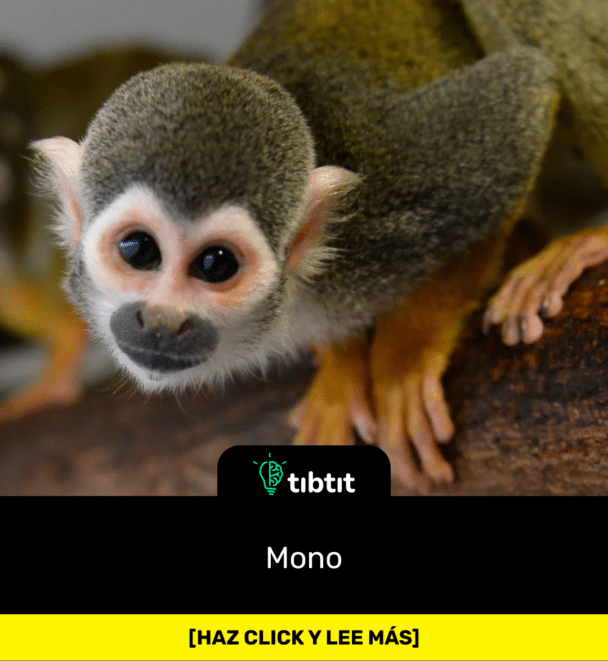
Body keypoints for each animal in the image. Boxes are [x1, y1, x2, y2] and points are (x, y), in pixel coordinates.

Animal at [30, 0, 608, 492]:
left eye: (216, 263)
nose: (160, 322)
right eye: (138, 250)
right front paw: (342, 366)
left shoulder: (387, 205)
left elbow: (523, 96)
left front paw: (403, 359)